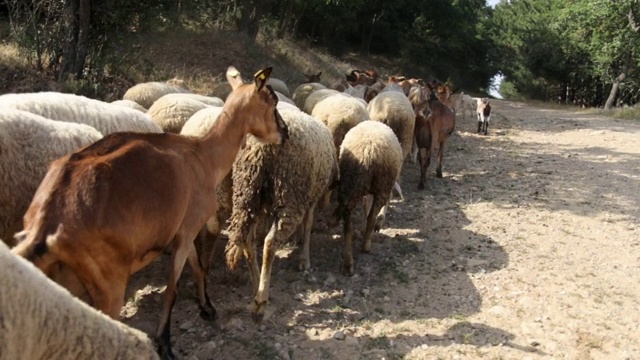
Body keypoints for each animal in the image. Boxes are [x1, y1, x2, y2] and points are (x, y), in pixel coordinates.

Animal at [224, 107, 338, 324]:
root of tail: (258, 148)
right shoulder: (311, 197)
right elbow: (308, 225)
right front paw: (304, 258)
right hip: (290, 191)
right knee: (270, 243)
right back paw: (261, 301)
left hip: (248, 192)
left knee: (248, 242)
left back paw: (257, 285)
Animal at [330, 121, 400, 276]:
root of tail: (369, 151)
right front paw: (378, 222)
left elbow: (364, 205)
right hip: (382, 183)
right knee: (371, 216)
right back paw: (366, 244)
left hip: (351, 183)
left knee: (348, 225)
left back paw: (348, 262)